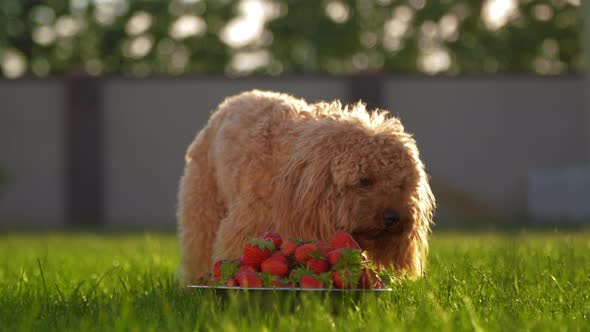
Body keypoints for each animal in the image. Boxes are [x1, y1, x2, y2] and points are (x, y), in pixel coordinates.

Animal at [176, 89, 434, 284]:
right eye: (365, 180)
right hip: (204, 210)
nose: (393, 217)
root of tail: (228, 104)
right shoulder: (247, 228)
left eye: (401, 185)